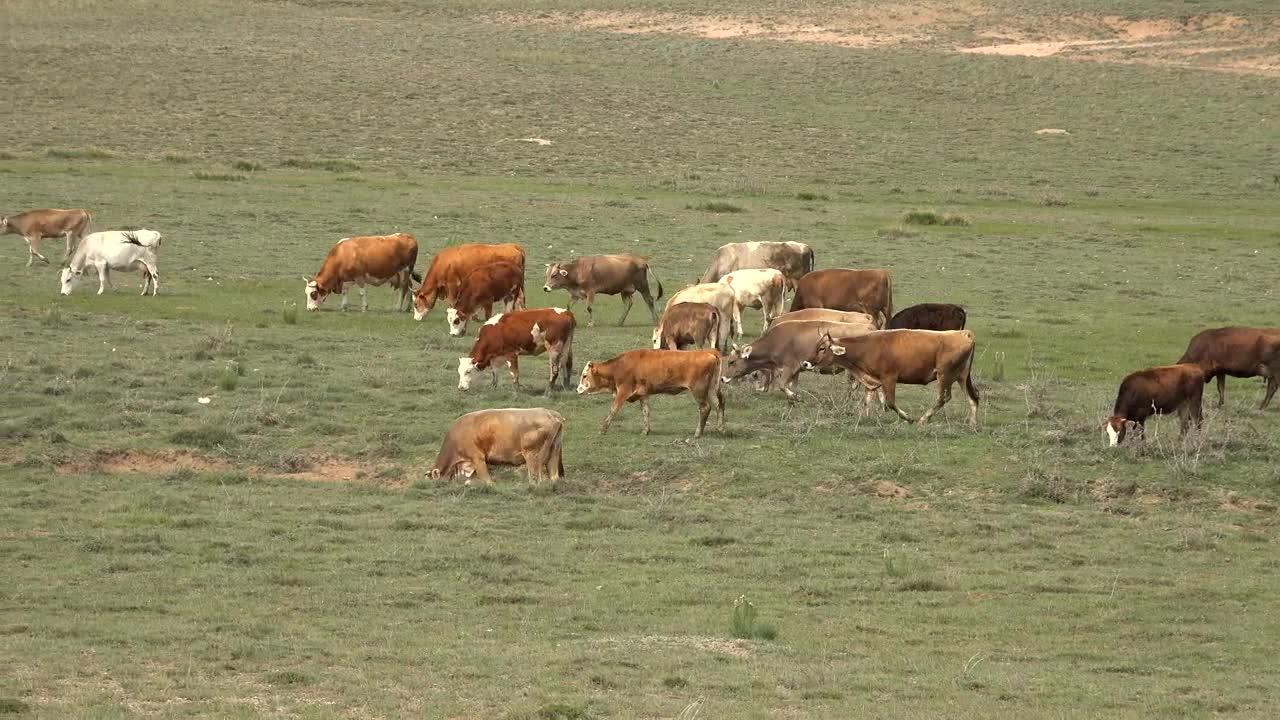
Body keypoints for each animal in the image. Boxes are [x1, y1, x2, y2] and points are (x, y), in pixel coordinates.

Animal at [430, 408, 565, 484]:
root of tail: (551, 413)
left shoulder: (478, 458)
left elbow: (486, 478)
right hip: (554, 450)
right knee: (554, 476)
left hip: (533, 455)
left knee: (535, 477)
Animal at [576, 349, 726, 437]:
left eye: (584, 375)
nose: (577, 389)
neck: (619, 367)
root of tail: (709, 351)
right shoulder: (643, 394)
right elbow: (646, 411)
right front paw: (645, 430)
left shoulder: (623, 391)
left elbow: (613, 410)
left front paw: (603, 430)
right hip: (712, 389)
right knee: (719, 404)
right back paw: (721, 428)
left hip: (698, 390)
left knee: (705, 407)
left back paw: (698, 433)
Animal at [721, 320, 874, 399]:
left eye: (731, 362)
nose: (722, 378)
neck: (775, 341)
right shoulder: (796, 370)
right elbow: (792, 385)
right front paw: (794, 396)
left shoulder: (790, 366)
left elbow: (783, 385)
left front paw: (793, 396)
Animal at [803, 330, 979, 427]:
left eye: (822, 348)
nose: (805, 363)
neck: (866, 347)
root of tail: (964, 334)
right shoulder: (871, 380)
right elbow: (868, 400)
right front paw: (866, 418)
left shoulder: (889, 378)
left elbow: (890, 402)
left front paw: (908, 418)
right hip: (962, 377)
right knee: (973, 397)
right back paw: (972, 423)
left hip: (945, 375)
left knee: (943, 398)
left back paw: (923, 419)